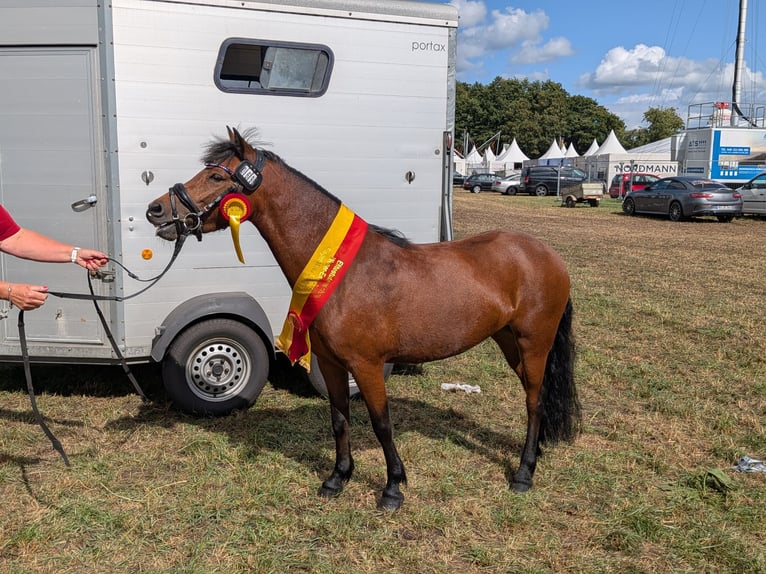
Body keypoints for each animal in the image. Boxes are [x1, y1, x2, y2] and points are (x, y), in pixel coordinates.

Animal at [146, 127, 580, 510]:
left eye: (217, 175)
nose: (157, 210)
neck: (342, 272)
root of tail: (548, 254)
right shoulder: (331, 364)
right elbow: (339, 419)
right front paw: (337, 478)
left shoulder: (367, 365)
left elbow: (381, 423)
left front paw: (393, 488)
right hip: (509, 341)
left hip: (534, 343)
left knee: (534, 400)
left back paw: (523, 473)